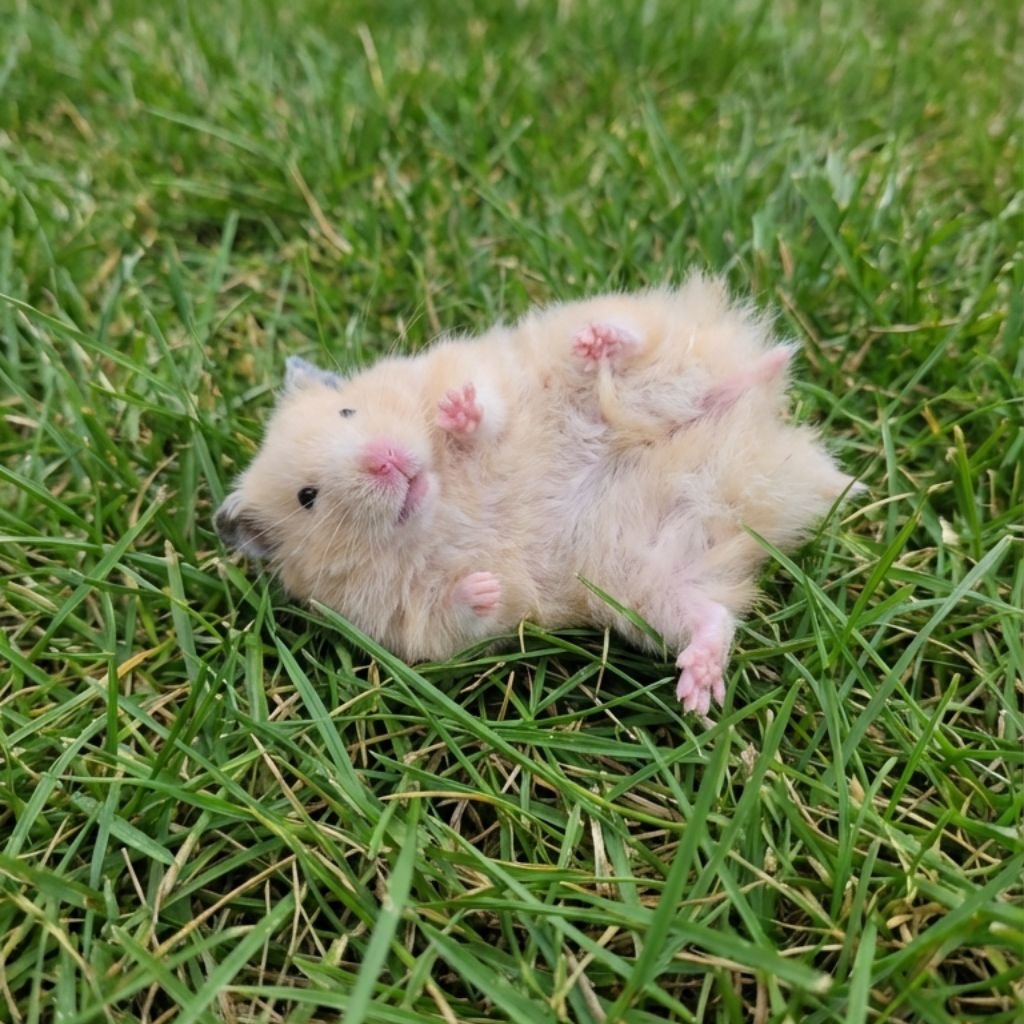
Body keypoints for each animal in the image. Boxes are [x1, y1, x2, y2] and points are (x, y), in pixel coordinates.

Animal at [216, 274, 858, 716]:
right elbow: (454, 615)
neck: (439, 500)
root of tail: (743, 413)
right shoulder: (404, 625)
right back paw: (697, 687)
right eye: (308, 497)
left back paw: (598, 343)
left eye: (347, 411)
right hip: (646, 581)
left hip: (641, 374)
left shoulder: (482, 376)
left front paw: (456, 412)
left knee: (633, 350)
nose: (387, 461)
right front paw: (482, 585)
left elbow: (487, 416)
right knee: (713, 617)